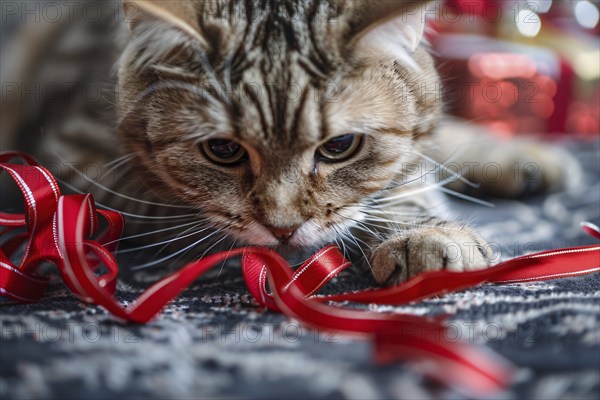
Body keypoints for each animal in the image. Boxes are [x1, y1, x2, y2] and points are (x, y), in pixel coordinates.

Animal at [0, 0, 572, 288]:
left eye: (341, 145)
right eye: (223, 151)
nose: (283, 227)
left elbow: (405, 171)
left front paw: (423, 231)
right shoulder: (78, 163)